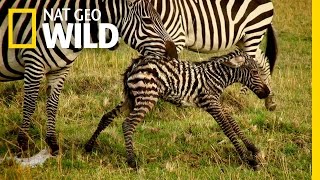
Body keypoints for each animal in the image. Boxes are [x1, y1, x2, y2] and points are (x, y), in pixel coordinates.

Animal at [0, 0, 178, 155]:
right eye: (147, 20)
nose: (174, 54)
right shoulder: (33, 62)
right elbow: (29, 105)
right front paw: (22, 146)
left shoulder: (60, 69)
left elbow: (52, 105)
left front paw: (53, 145)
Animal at [85, 49, 270, 170]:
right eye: (255, 72)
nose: (267, 93)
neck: (217, 77)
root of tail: (135, 64)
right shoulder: (211, 103)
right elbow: (228, 129)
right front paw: (248, 160)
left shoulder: (217, 103)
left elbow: (233, 122)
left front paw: (253, 149)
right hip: (147, 97)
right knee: (128, 124)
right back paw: (132, 162)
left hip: (131, 98)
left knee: (107, 116)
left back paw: (89, 146)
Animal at [150, 0, 278, 110]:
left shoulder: (176, 37)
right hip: (243, 39)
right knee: (264, 62)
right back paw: (270, 101)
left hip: (253, 34)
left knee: (251, 64)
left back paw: (239, 101)